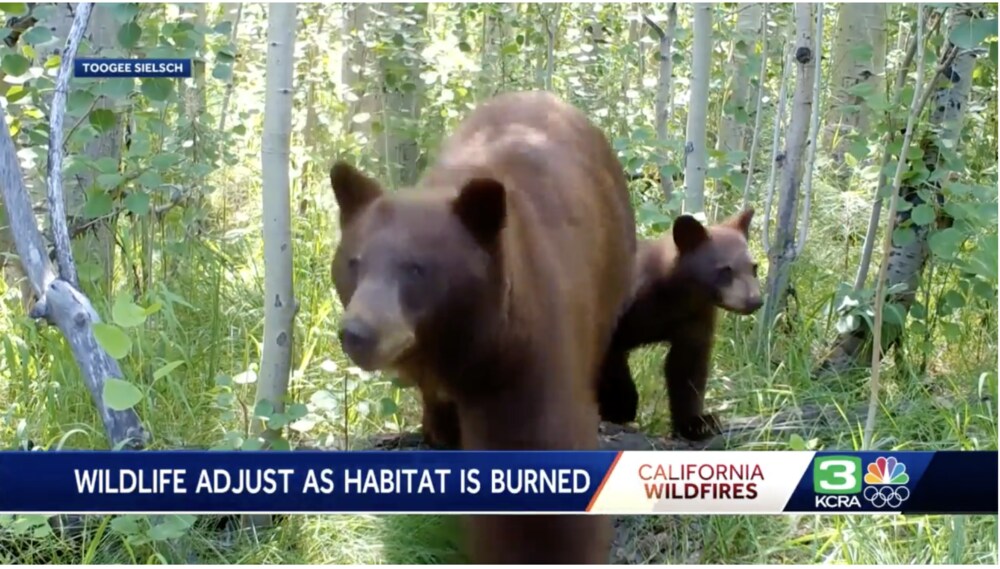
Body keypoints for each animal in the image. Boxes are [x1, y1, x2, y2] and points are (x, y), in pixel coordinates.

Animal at [596, 211, 760, 442]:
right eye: (725, 270)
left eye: (754, 267)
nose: (755, 300)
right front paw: (620, 406)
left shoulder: (695, 318)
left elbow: (687, 367)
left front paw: (698, 423)